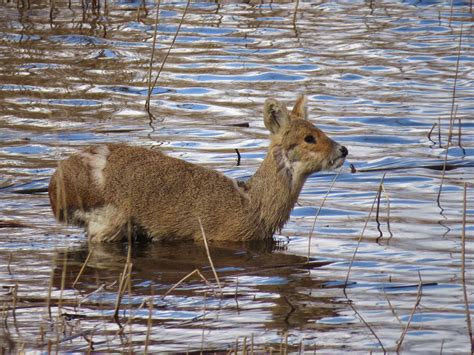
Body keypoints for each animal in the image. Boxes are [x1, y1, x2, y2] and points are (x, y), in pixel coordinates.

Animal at [49, 96, 348, 243]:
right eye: (309, 138)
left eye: (319, 129)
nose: (343, 150)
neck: (253, 205)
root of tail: (56, 187)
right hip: (109, 224)